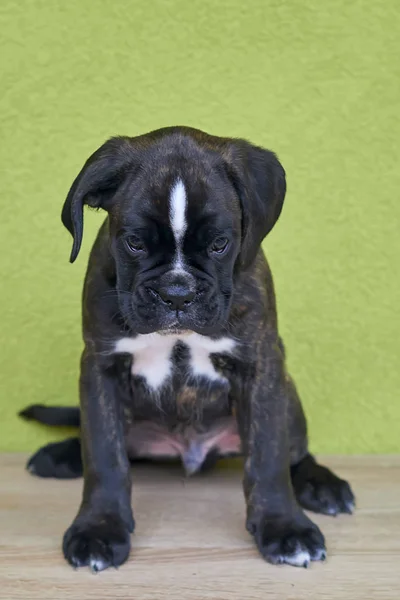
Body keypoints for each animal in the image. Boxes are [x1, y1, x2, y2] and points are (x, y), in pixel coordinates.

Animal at [21, 127, 354, 572]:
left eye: (219, 244)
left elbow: (269, 456)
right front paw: (99, 528)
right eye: (134, 243)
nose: (177, 292)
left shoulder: (261, 366)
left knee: (295, 453)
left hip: (289, 394)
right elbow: (104, 454)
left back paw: (322, 485)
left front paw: (285, 527)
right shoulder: (101, 368)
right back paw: (61, 455)